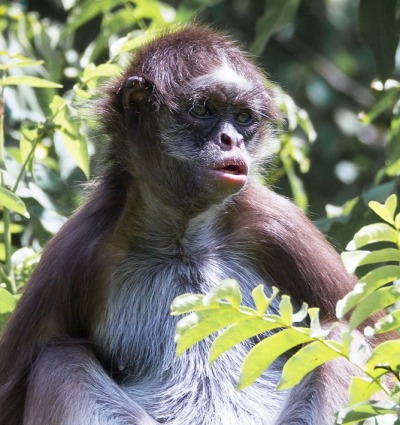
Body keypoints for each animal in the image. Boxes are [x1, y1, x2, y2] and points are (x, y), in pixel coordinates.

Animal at [0, 27, 368, 424]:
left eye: (243, 117)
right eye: (203, 109)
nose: (231, 140)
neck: (182, 242)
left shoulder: (275, 224)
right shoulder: (78, 247)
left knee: (344, 336)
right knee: (59, 360)